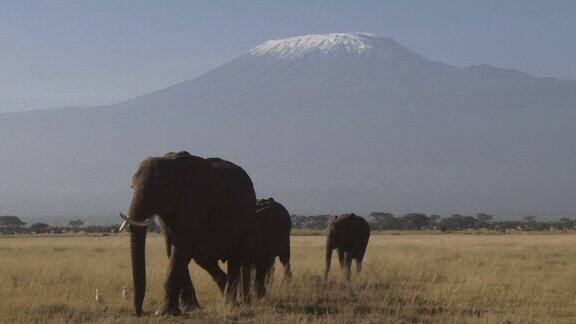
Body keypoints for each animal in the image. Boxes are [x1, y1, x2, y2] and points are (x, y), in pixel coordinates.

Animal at [120, 152, 260, 316]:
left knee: (235, 259)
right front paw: (188, 309)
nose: (140, 313)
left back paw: (229, 303)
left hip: (247, 221)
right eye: (132, 186)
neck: (172, 162)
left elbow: (181, 249)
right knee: (202, 258)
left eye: (165, 186)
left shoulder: (194, 203)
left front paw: (163, 313)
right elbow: (173, 250)